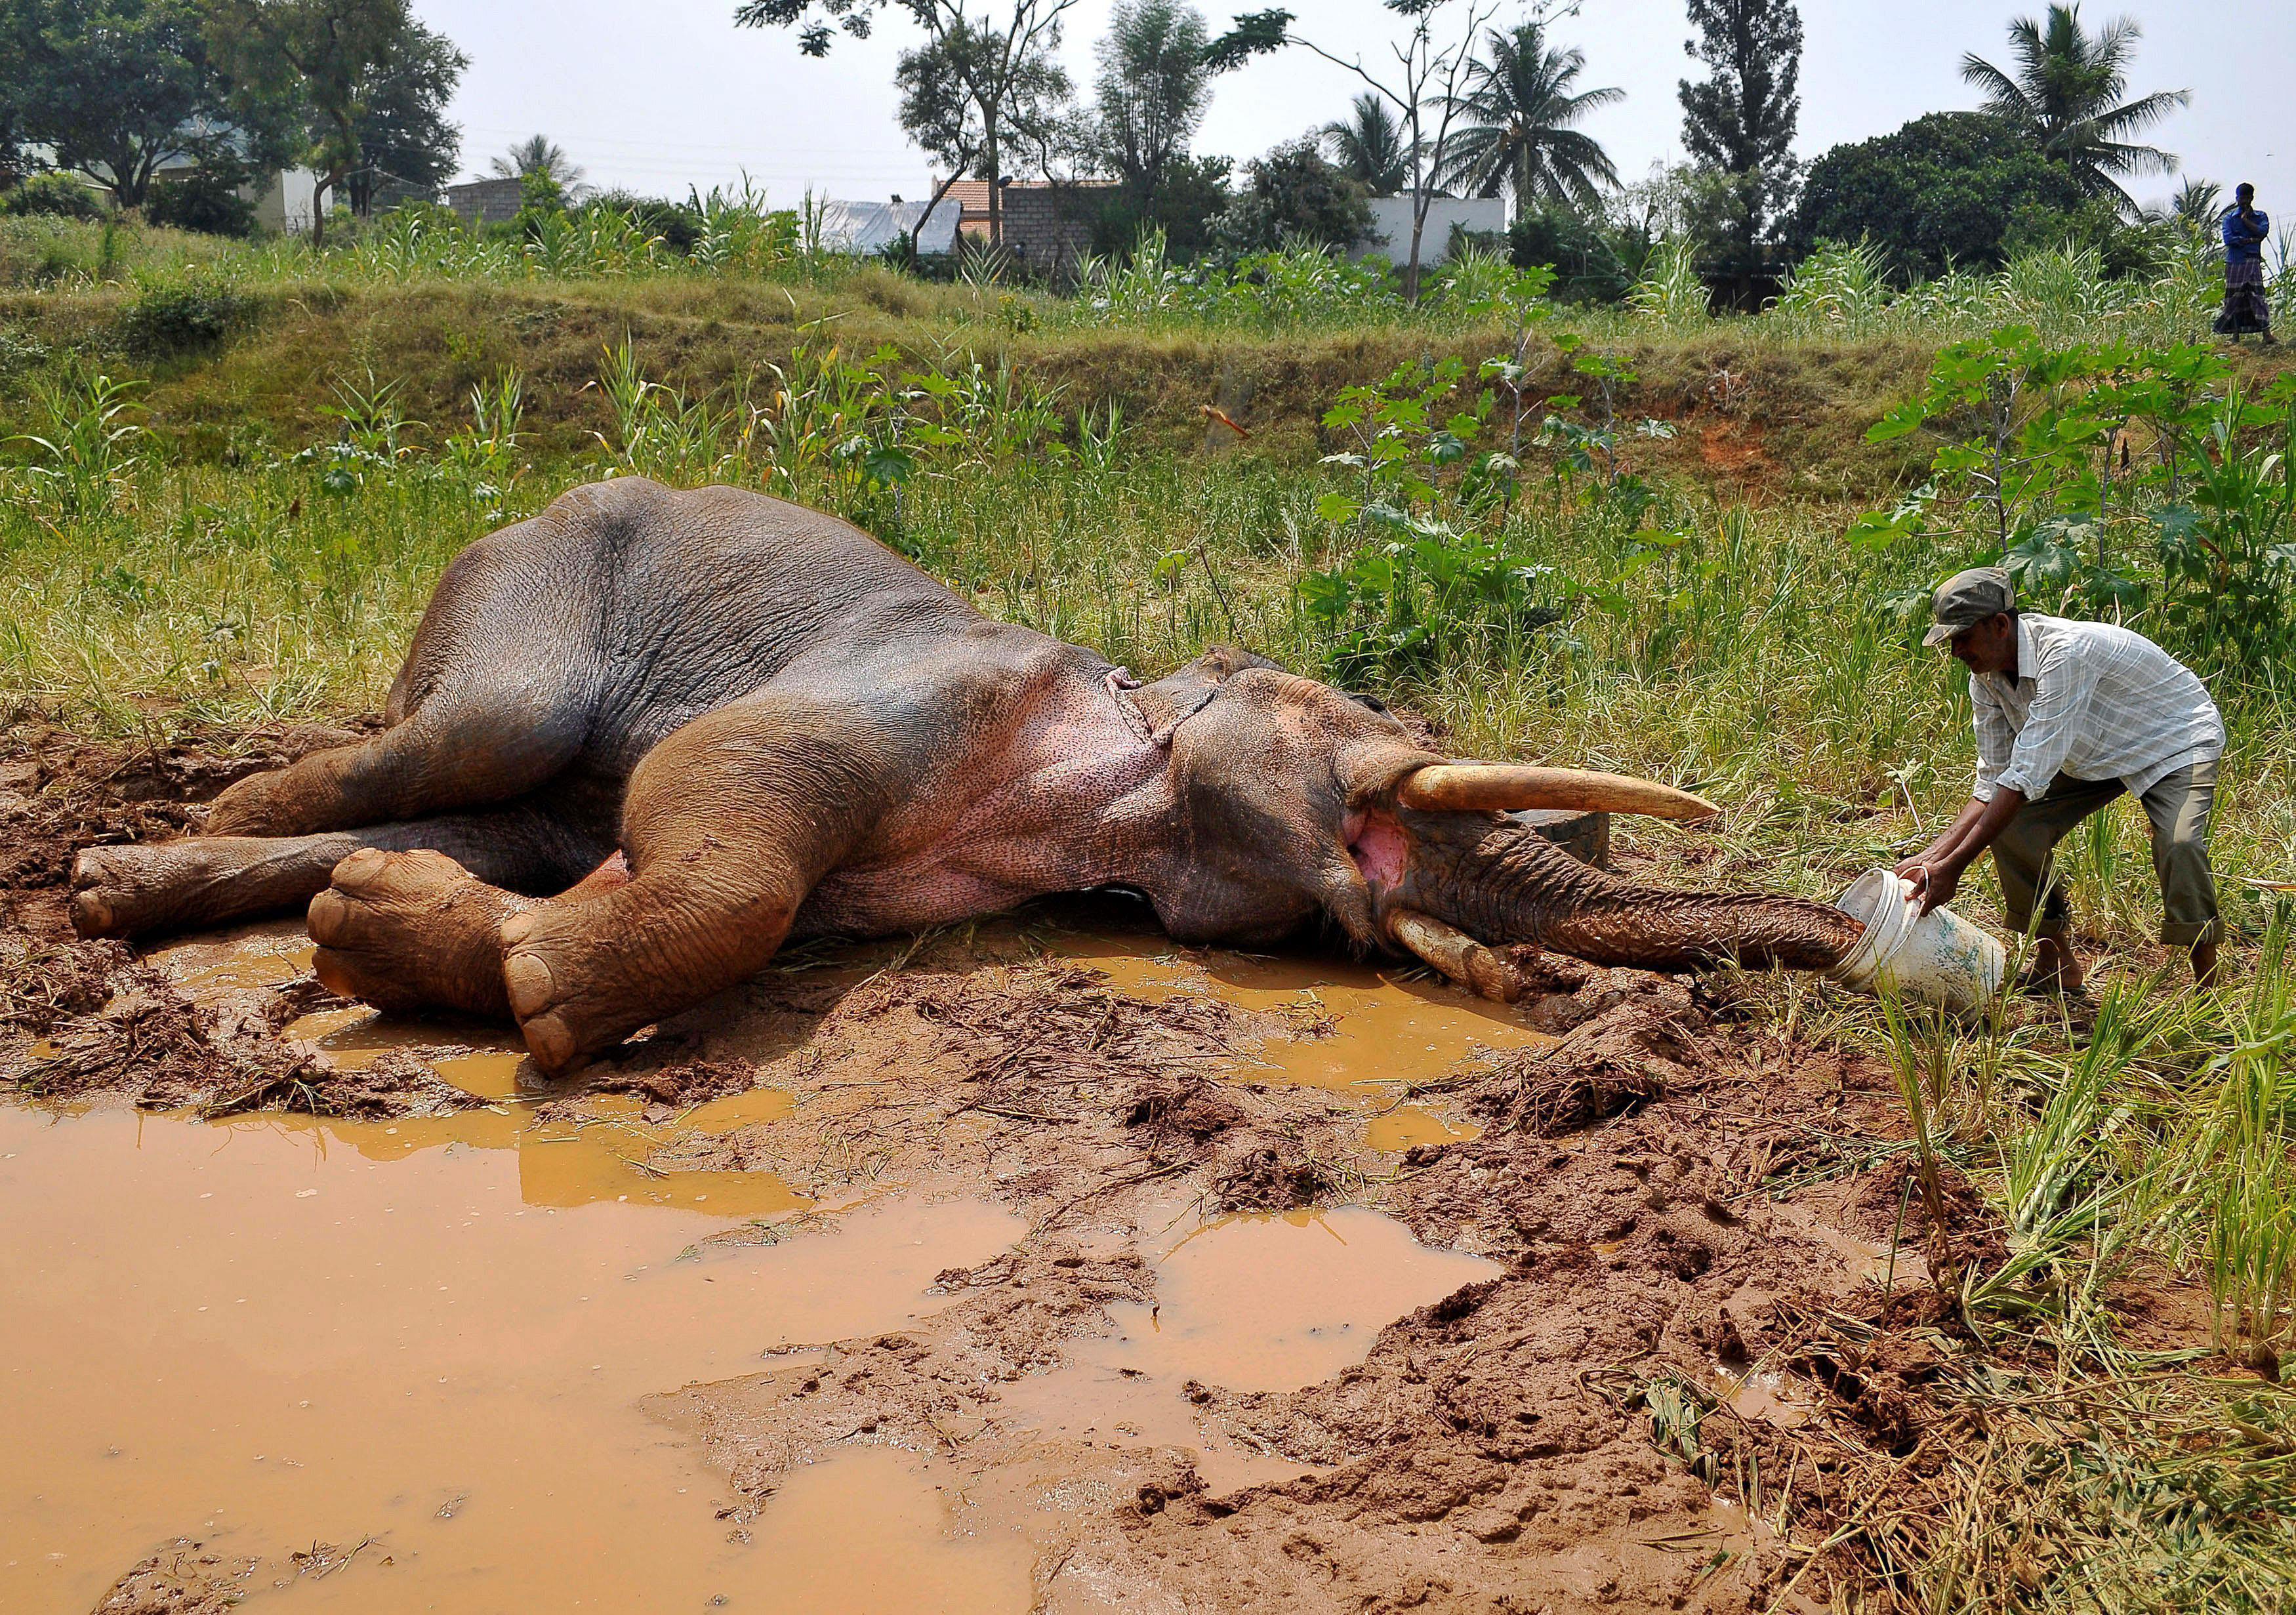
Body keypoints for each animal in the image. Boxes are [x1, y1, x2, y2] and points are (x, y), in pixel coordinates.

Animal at [72, 478, 1864, 1074]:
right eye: (1384, 718)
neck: (1128, 730)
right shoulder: (915, 689)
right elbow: (720, 805)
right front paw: (541, 997)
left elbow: (654, 860)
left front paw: (382, 933)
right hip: (532, 591)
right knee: (480, 729)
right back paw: (176, 837)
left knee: (510, 813)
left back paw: (142, 885)